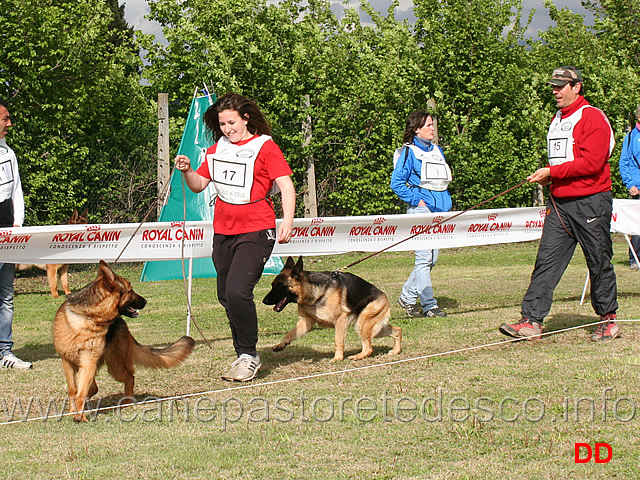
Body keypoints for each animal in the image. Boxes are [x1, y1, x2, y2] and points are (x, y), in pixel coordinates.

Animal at [54, 260, 195, 422]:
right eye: (131, 290)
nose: (146, 301)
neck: (89, 316)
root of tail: (121, 322)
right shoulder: (68, 362)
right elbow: (73, 390)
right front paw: (73, 411)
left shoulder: (88, 362)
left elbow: (80, 393)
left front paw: (80, 416)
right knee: (94, 387)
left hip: (115, 366)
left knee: (129, 378)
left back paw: (126, 402)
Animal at [262, 256, 402, 362]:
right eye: (273, 285)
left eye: (280, 286)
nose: (264, 301)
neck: (314, 294)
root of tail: (384, 297)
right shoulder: (306, 322)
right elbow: (289, 334)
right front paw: (280, 345)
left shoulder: (340, 321)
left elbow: (338, 341)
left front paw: (337, 358)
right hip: (373, 327)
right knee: (397, 330)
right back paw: (396, 350)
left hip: (362, 325)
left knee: (369, 348)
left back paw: (357, 356)